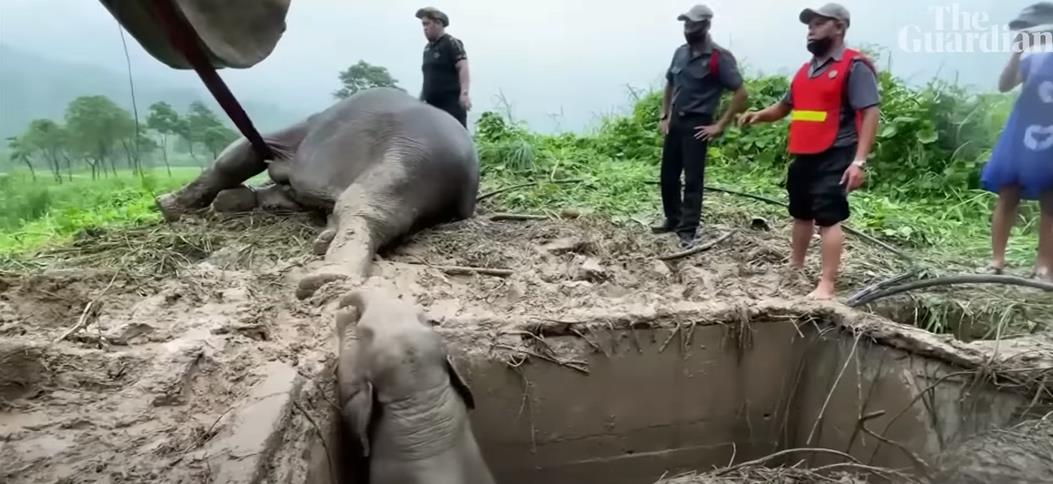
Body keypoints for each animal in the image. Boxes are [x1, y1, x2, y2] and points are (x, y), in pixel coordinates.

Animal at [154, 87, 482, 298]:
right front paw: (225, 202)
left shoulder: (287, 140)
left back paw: (327, 277)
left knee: (370, 207)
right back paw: (323, 243)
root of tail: (466, 172)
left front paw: (167, 205)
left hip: (408, 158)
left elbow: (236, 156)